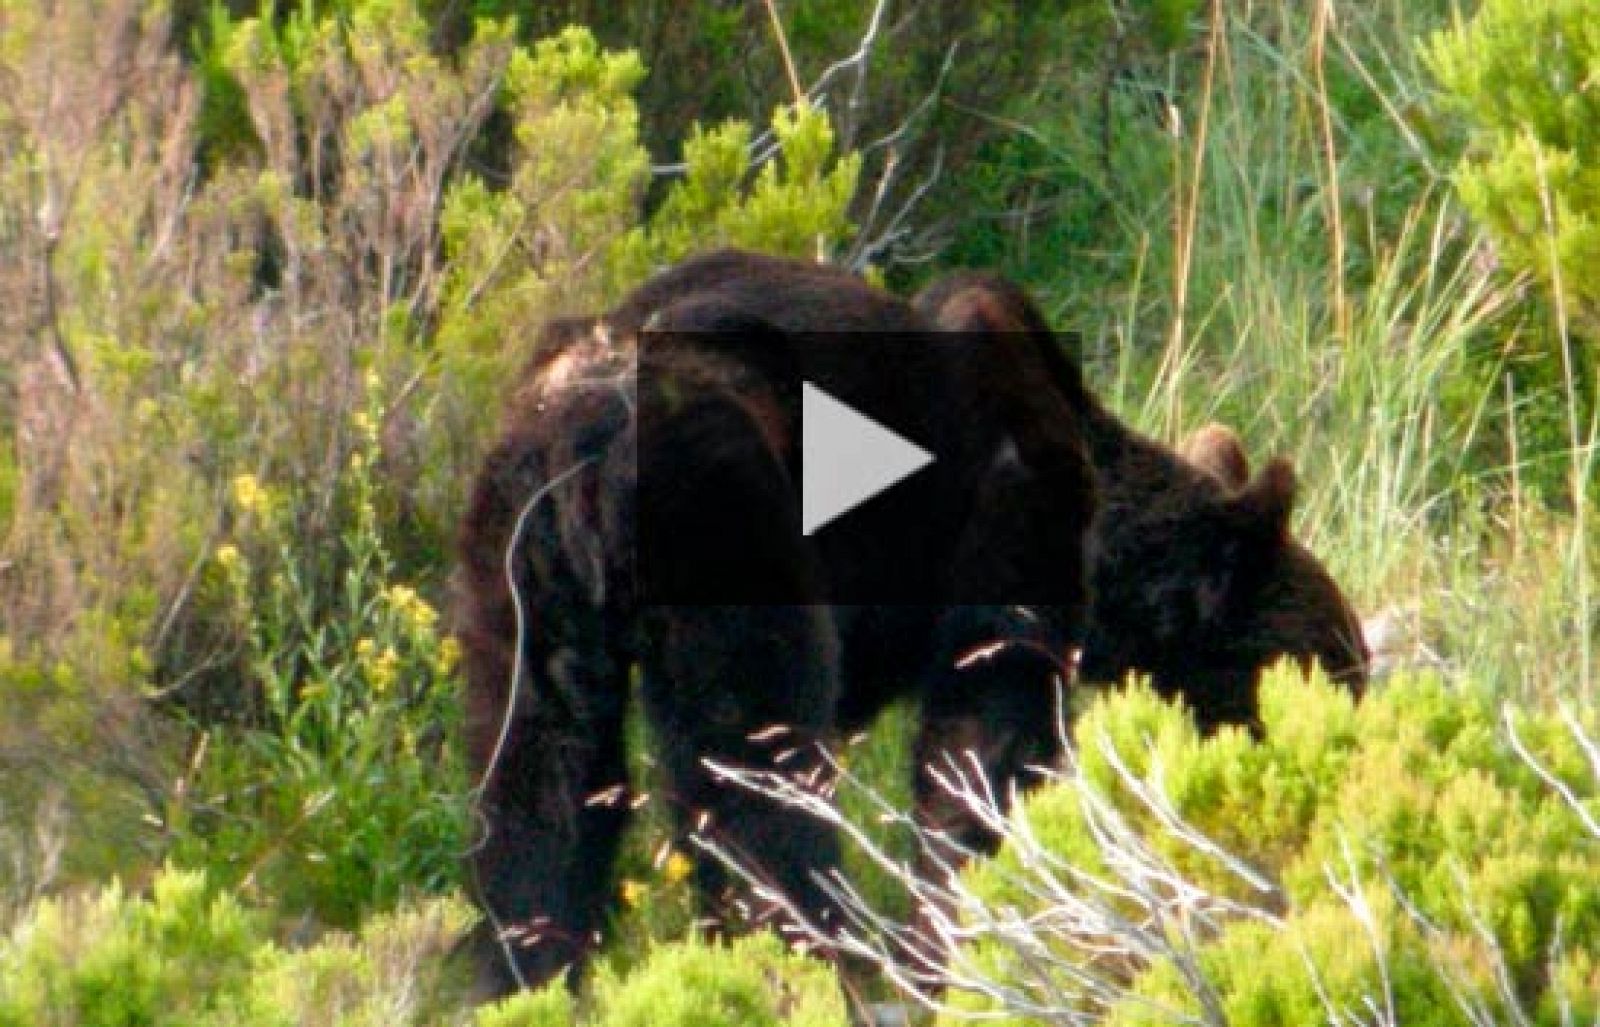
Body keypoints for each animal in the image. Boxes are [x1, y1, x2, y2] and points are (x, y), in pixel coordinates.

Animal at [457, 247, 1094, 991]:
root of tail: (586, 460)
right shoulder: (1013, 506)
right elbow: (984, 725)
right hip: (725, 526)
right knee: (758, 794)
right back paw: (805, 958)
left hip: (519, 573)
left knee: (539, 799)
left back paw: (524, 976)